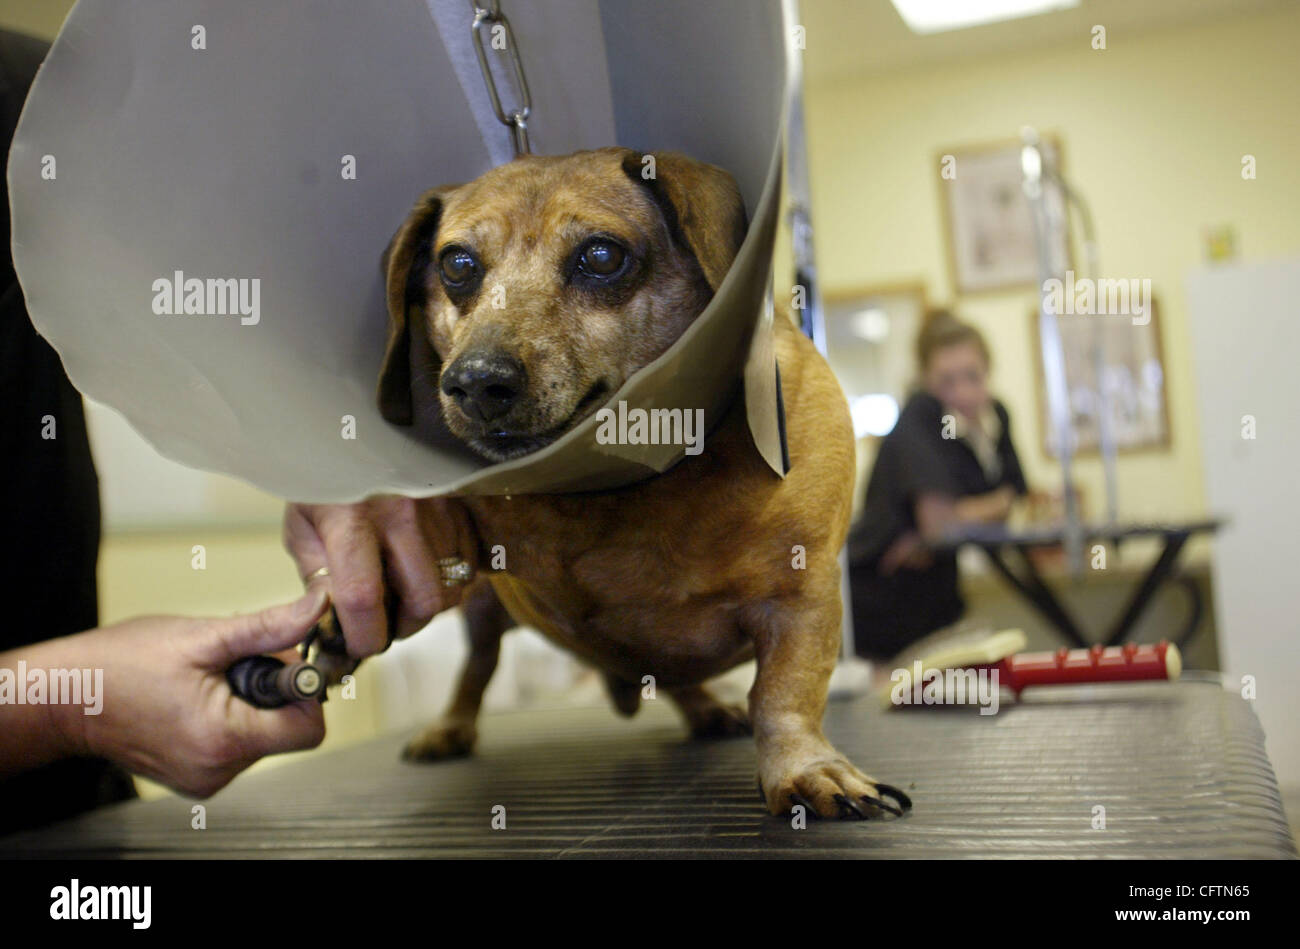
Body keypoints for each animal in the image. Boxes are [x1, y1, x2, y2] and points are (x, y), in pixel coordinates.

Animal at [374, 146, 904, 811]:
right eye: (457, 264)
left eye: (601, 256)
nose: (475, 381)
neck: (627, 484)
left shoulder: (801, 599)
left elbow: (784, 693)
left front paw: (805, 768)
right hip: (482, 609)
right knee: (478, 666)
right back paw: (450, 726)